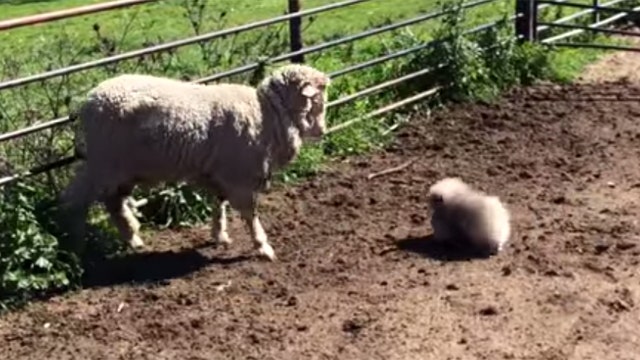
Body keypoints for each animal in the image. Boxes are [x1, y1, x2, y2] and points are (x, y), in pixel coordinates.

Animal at [58, 64, 336, 262]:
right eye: (317, 101)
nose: (323, 131)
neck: (268, 114)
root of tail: (90, 100)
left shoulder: (222, 172)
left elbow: (219, 204)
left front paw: (219, 234)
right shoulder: (240, 175)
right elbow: (250, 214)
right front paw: (263, 246)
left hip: (119, 169)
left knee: (112, 202)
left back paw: (132, 237)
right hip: (104, 162)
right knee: (75, 200)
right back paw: (77, 246)